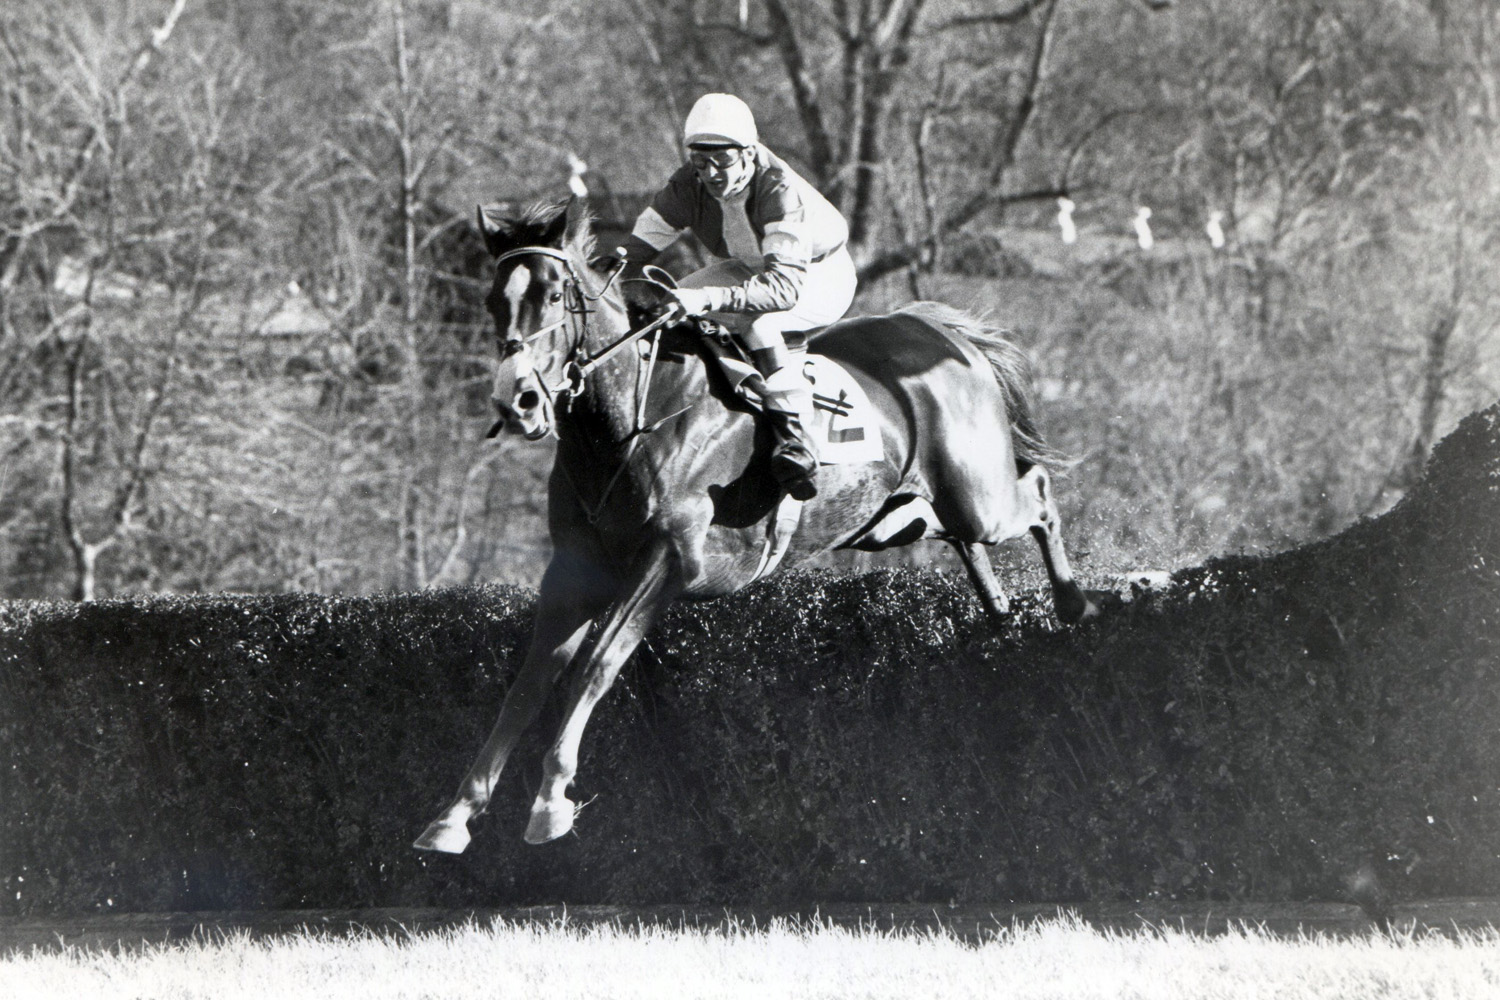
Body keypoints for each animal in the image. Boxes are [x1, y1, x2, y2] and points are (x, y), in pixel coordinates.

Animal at [417, 200, 1098, 851]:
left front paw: (552, 800)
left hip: (975, 494)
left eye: (555, 295)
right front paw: (455, 814)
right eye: (493, 300)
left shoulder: (670, 559)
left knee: (1037, 493)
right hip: (900, 518)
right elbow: (528, 685)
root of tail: (937, 329)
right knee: (967, 541)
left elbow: (595, 666)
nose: (518, 400)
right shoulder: (575, 571)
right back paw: (1001, 615)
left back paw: (1071, 603)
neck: (634, 417)